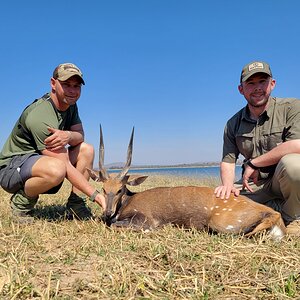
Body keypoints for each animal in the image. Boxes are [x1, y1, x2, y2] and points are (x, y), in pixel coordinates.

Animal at [87, 127, 286, 240]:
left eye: (120, 189)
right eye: (103, 189)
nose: (108, 212)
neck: (127, 203)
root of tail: (275, 216)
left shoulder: (145, 219)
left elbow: (118, 226)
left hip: (222, 223)